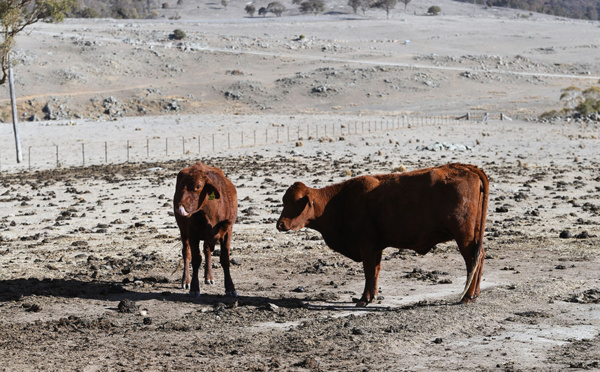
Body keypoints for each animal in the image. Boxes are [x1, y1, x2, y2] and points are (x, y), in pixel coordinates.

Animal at [172, 161, 238, 298]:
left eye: (198, 186)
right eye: (181, 186)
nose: (179, 205)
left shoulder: (227, 231)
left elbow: (225, 259)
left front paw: (230, 287)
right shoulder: (192, 234)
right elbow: (196, 259)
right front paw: (194, 288)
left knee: (207, 250)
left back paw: (209, 277)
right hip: (183, 232)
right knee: (186, 253)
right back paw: (186, 280)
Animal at [276, 162, 488, 306]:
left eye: (296, 202)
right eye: (284, 201)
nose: (280, 224)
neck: (340, 201)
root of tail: (468, 168)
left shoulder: (366, 245)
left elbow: (369, 270)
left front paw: (364, 299)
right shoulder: (376, 247)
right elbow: (375, 271)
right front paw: (372, 296)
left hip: (464, 236)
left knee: (472, 260)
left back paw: (467, 296)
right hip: (474, 236)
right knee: (480, 257)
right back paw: (475, 293)